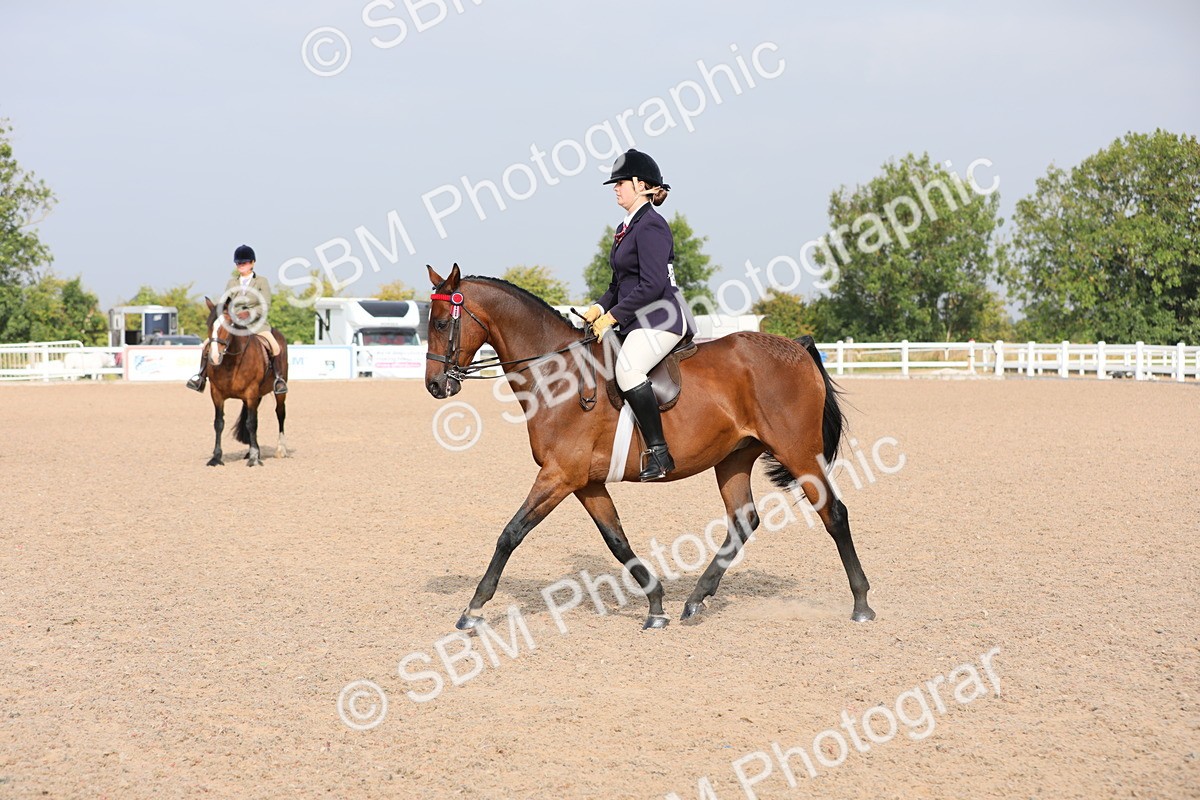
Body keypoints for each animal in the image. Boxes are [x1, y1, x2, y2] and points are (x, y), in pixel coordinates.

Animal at [201, 297, 289, 467]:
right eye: (209, 324)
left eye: (229, 324)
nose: (214, 357)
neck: (231, 363)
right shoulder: (216, 394)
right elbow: (219, 423)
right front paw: (216, 458)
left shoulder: (251, 393)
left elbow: (251, 423)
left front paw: (254, 459)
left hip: (278, 393)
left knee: (280, 413)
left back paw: (280, 450)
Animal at [424, 264, 874, 630]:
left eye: (443, 324)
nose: (435, 385)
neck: (557, 374)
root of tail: (795, 347)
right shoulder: (585, 482)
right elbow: (616, 540)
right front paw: (656, 604)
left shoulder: (558, 475)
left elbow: (511, 533)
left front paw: (474, 609)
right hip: (733, 458)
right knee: (744, 520)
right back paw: (695, 601)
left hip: (798, 453)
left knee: (834, 513)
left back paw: (861, 603)